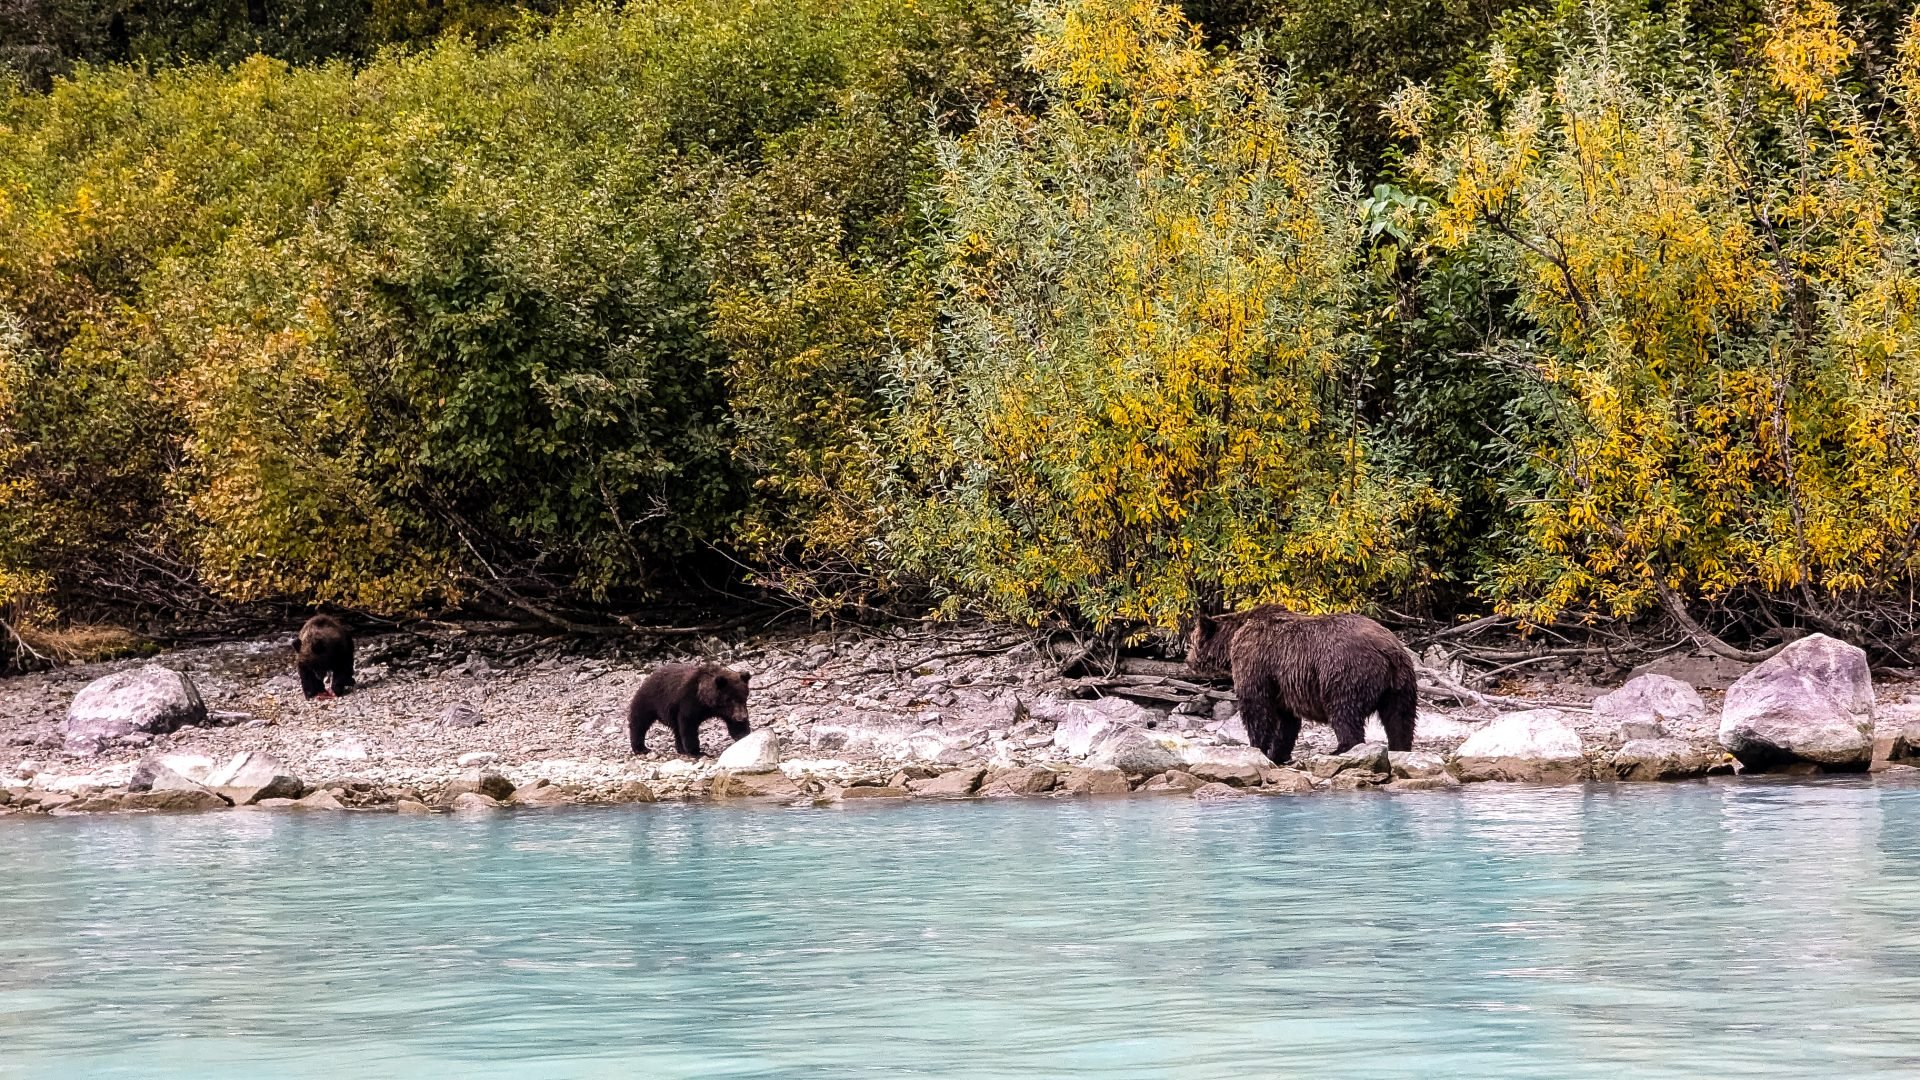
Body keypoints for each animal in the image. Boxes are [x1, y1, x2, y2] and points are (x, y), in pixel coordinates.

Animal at [1187, 606, 1416, 764]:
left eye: (1191, 641)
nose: (1187, 660)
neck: (1232, 639)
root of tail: (1388, 649)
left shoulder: (1256, 661)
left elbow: (1257, 708)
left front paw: (1257, 747)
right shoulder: (1282, 683)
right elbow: (1286, 721)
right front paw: (1277, 753)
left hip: (1345, 671)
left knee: (1345, 712)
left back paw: (1341, 749)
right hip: (1401, 684)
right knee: (1400, 719)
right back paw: (1399, 748)